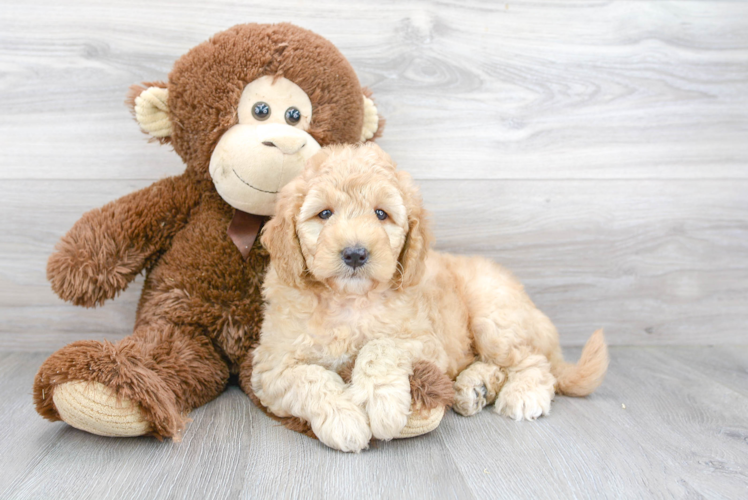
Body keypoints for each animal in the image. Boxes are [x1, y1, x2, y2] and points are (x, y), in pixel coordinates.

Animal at [251, 144, 608, 454]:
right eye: (324, 214)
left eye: (381, 214)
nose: (355, 253)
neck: (350, 300)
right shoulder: (271, 367)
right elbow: (309, 378)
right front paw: (345, 418)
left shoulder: (427, 343)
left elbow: (379, 345)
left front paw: (381, 404)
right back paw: (476, 388)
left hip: (494, 315)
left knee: (533, 360)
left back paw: (523, 392)